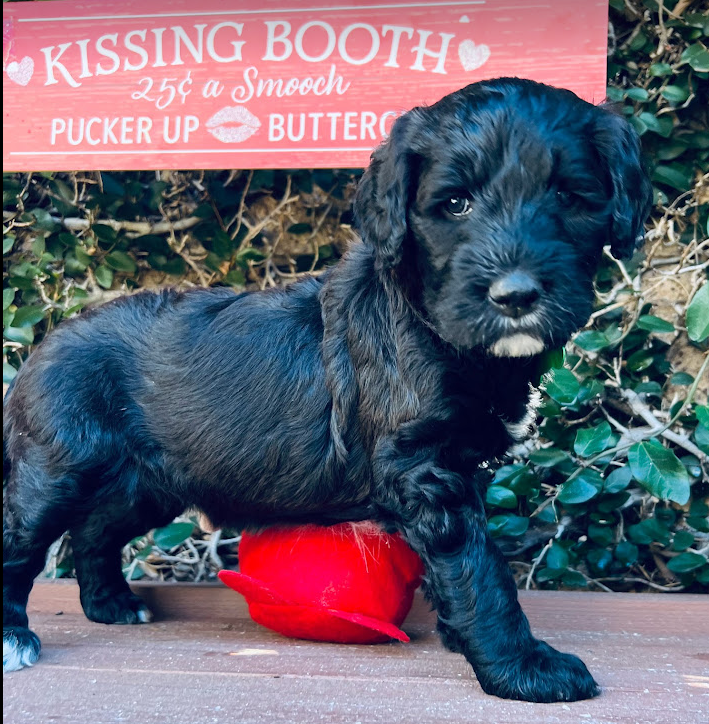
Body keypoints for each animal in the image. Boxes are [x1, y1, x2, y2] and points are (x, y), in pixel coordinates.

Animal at [2, 79, 648, 700]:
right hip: (58, 467)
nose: (515, 295)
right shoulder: (426, 469)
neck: (435, 328)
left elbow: (465, 565)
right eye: (456, 203)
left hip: (146, 479)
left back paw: (111, 604)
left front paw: (463, 639)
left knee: (96, 529)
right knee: (24, 535)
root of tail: (45, 344)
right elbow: (479, 568)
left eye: (569, 198)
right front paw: (523, 667)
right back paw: (15, 636)